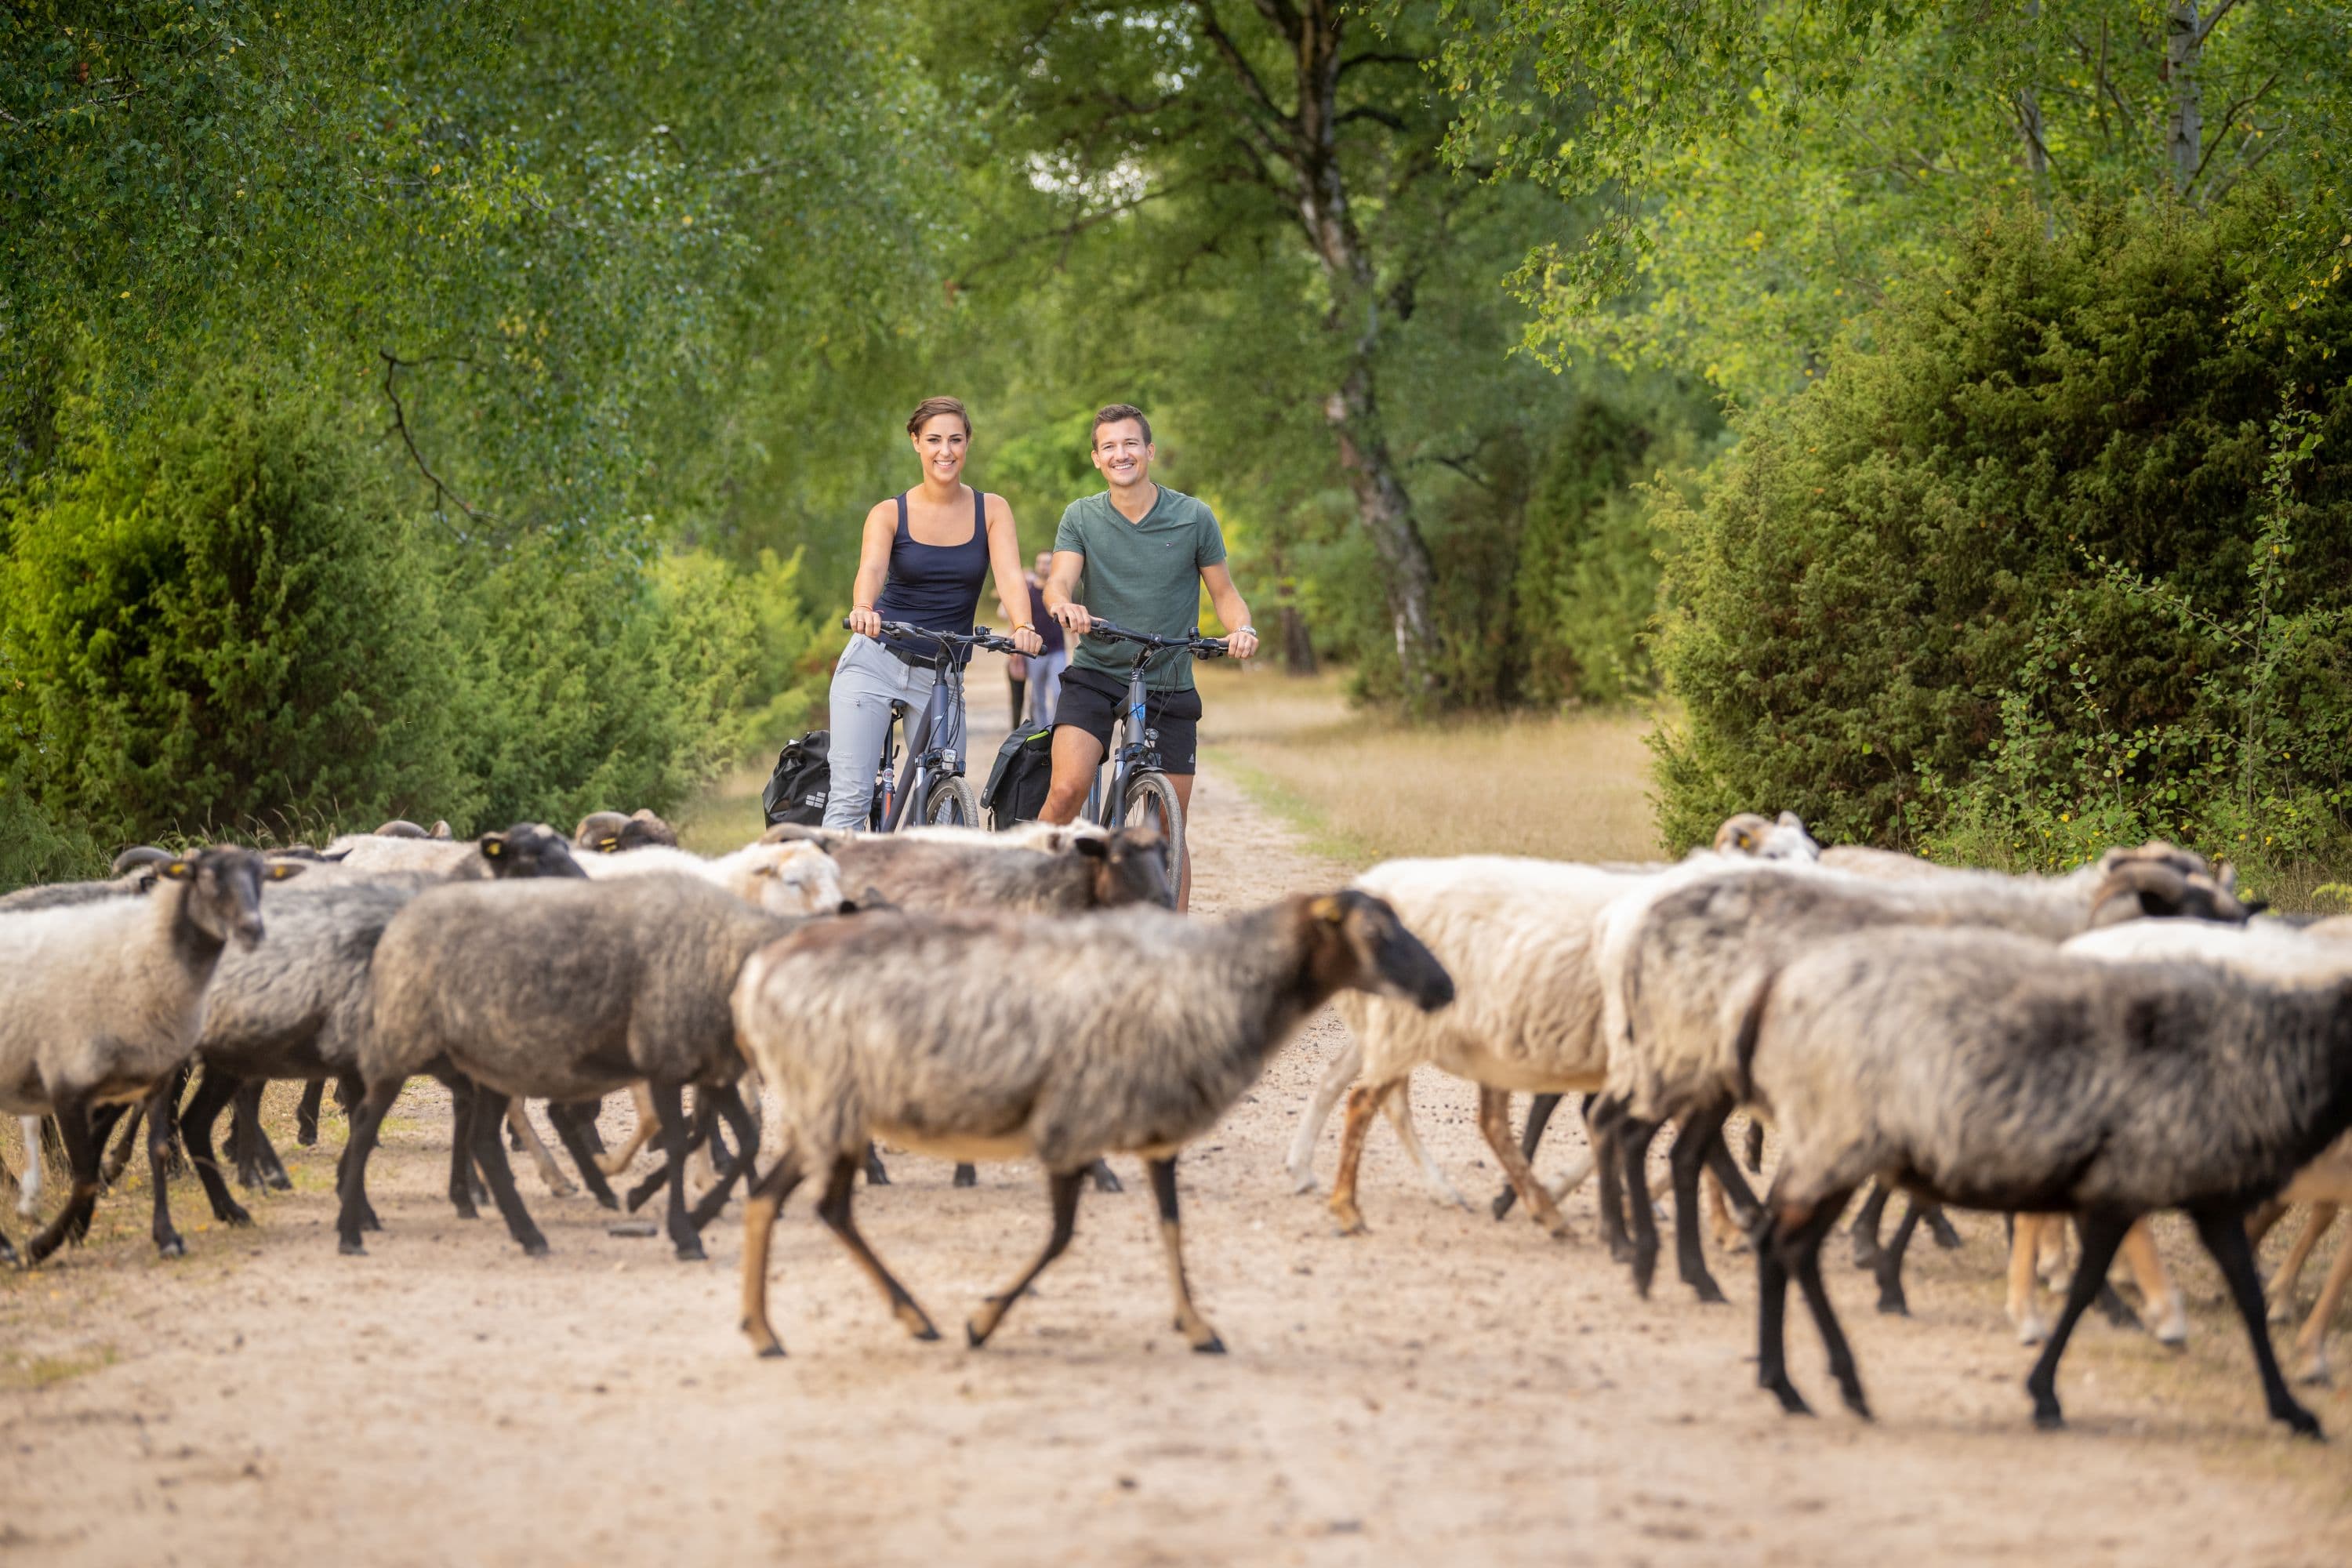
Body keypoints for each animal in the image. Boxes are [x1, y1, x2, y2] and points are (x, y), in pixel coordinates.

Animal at [341, 869, 833, 1260]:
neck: (726, 955)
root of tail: (398, 922)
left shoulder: (709, 1067)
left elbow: (747, 1139)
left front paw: (691, 1211)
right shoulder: (665, 1060)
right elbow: (678, 1143)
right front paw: (684, 1232)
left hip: (491, 1059)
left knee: (483, 1141)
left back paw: (529, 1235)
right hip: (398, 1042)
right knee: (364, 1128)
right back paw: (351, 1231)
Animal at [729, 893, 1449, 1363]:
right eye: (1376, 932)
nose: (1445, 988)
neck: (1219, 983)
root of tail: (758, 976)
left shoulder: (1159, 1135)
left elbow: (1171, 1227)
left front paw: (1196, 1326)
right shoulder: (1072, 1124)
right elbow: (1061, 1237)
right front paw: (982, 1321)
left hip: (826, 1110)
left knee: (781, 1202)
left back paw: (792, 1327)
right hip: (829, 1103)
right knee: (809, 1204)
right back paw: (840, 1325)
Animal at [1590, 851, 2249, 1307]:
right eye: (2193, 914)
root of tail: (1640, 928)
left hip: (1698, 1065)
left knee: (1667, 1148)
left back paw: (1673, 1262)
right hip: (1686, 1055)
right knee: (1644, 1139)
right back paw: (1657, 1260)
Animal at [1740, 926, 2343, 1439]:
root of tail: (1778, 988)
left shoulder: (2204, 1196)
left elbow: (2246, 1292)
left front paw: (2291, 1408)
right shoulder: (2133, 1184)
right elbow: (2086, 1283)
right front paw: (2047, 1389)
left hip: (1838, 1147)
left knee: (1790, 1247)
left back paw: (1808, 1383)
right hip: (1837, 1141)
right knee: (1786, 1243)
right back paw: (1812, 1376)